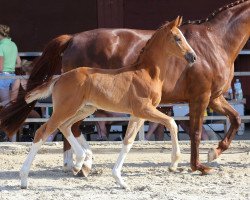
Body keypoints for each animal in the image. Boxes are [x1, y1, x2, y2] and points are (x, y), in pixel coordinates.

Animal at [19, 16, 196, 189]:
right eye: (178, 38)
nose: (193, 57)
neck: (146, 73)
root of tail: (59, 78)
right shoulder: (144, 109)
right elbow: (171, 122)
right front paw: (173, 163)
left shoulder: (137, 114)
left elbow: (128, 141)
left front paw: (120, 180)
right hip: (65, 109)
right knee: (43, 131)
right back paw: (24, 178)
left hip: (84, 109)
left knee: (65, 126)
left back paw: (80, 162)